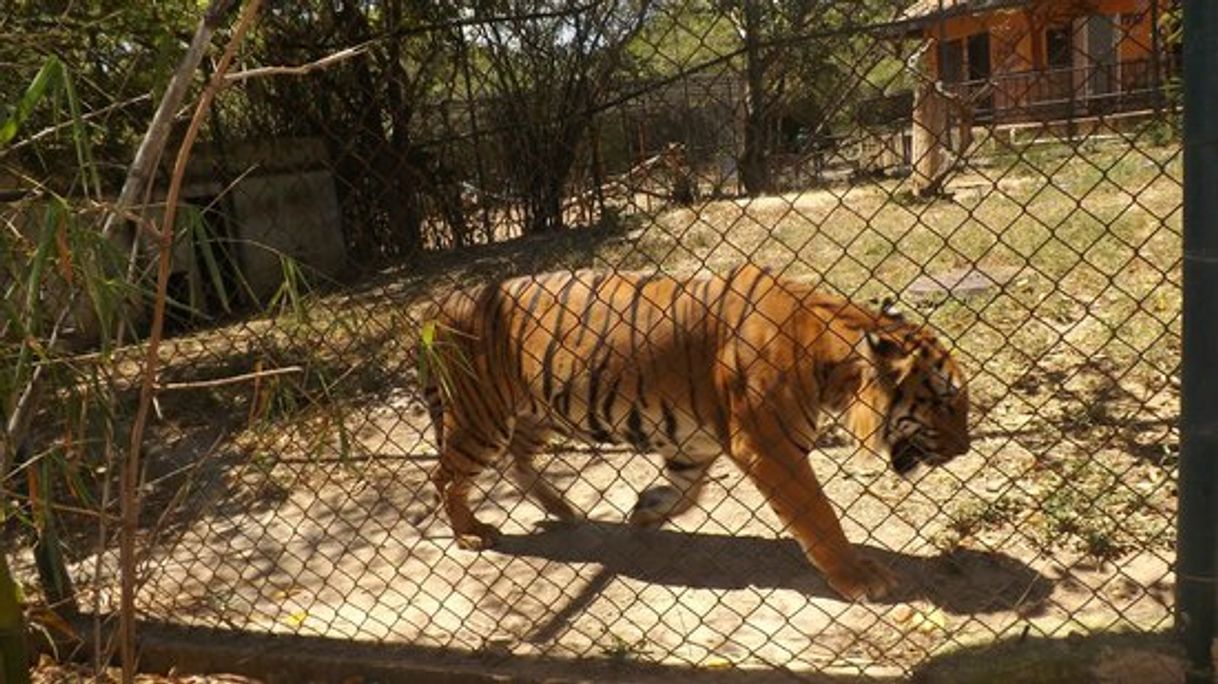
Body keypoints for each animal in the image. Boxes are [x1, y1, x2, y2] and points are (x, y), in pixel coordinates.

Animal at [418, 264, 969, 598]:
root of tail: (442, 302)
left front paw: (647, 510)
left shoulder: (694, 440)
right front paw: (860, 577)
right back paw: (471, 532)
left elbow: (688, 491)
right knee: (445, 477)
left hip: (534, 413)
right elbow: (820, 518)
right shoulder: (770, 446)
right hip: (481, 419)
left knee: (517, 461)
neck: (828, 356)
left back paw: (563, 509)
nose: (964, 449)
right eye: (945, 402)